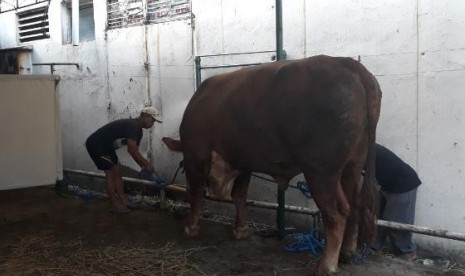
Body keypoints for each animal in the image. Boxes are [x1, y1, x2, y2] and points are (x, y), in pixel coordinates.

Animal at [163, 55, 380, 274]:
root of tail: (344, 61)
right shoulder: (244, 162)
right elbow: (239, 194)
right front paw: (241, 229)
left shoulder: (196, 155)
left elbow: (196, 192)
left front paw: (191, 228)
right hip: (352, 167)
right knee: (355, 205)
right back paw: (347, 252)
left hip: (321, 173)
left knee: (337, 213)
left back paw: (326, 265)